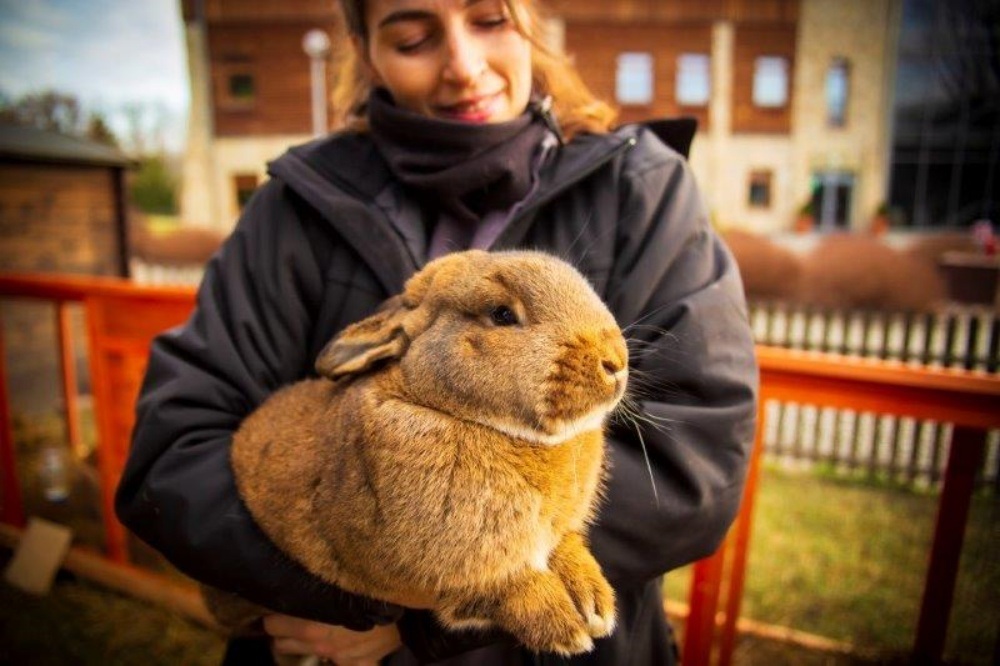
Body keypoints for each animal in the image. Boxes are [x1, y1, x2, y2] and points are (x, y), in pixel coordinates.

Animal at [201, 249, 624, 652]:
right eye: (502, 314)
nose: (617, 361)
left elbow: (565, 546)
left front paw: (594, 600)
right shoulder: (442, 573)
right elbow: (504, 587)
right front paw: (564, 627)